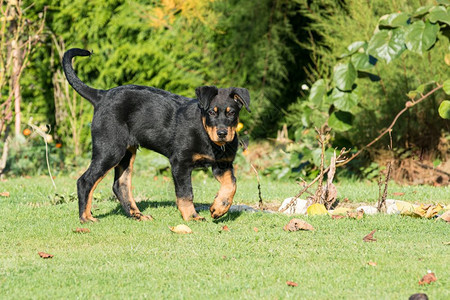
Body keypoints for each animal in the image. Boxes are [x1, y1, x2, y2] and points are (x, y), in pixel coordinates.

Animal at [61, 48, 250, 223]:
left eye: (231, 112)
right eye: (211, 112)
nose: (222, 133)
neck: (206, 134)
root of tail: (101, 95)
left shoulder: (223, 165)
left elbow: (231, 184)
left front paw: (219, 208)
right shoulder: (180, 163)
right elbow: (185, 193)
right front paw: (192, 216)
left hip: (127, 152)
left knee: (120, 185)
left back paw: (137, 215)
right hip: (110, 149)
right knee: (85, 181)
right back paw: (86, 218)